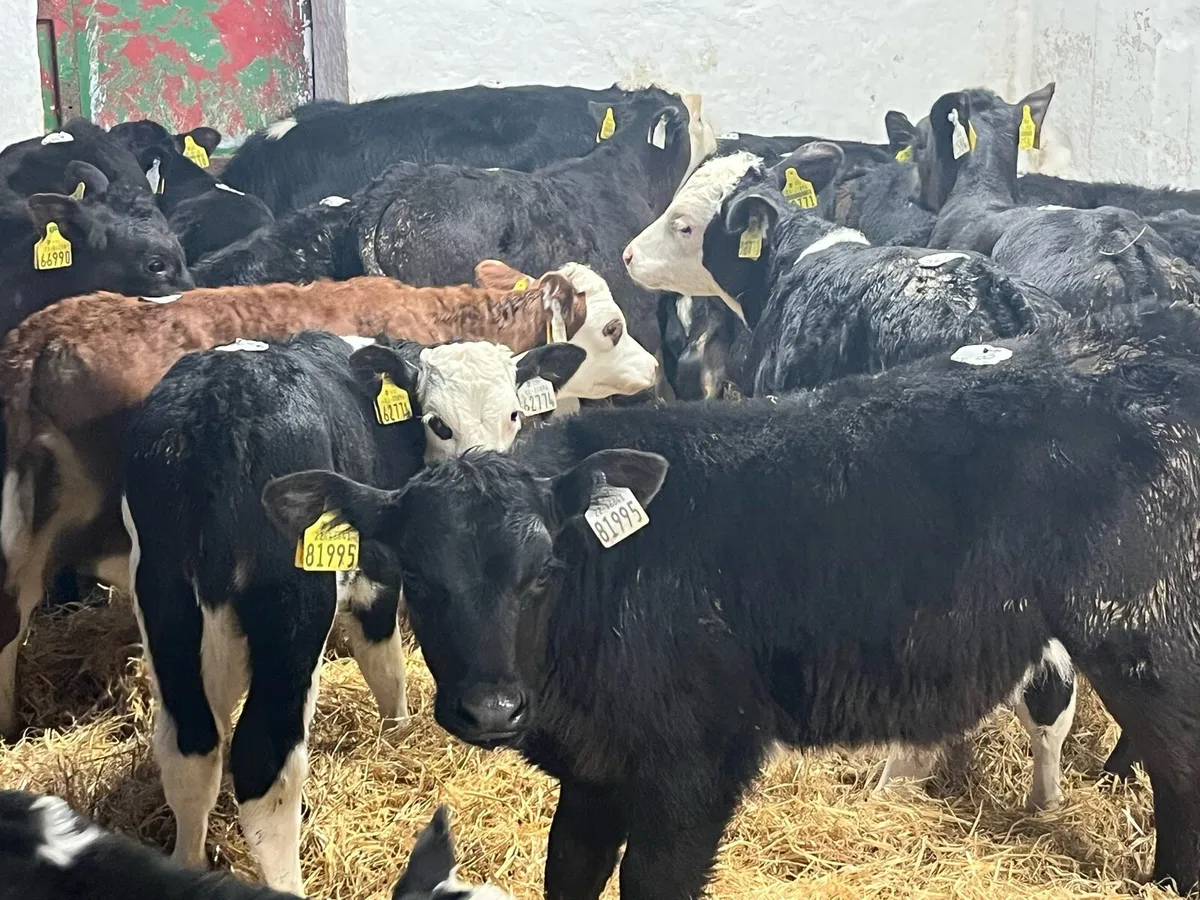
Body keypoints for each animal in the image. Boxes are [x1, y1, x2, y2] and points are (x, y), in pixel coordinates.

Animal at [123, 331, 580, 892]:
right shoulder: (381, 568)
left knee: (189, 747)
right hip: (293, 606)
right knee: (265, 765)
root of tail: (217, 402)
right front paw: (400, 734)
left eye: (514, 414)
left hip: (163, 593)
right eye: (439, 423)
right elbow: (386, 665)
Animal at [262, 301, 1200, 898]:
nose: (492, 709)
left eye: (543, 572)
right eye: (420, 579)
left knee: (1181, 762)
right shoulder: (597, 774)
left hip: (1143, 635)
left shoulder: (695, 770)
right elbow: (570, 873)